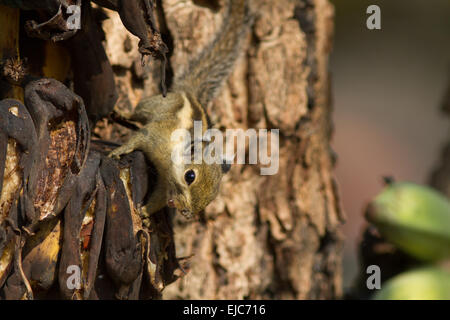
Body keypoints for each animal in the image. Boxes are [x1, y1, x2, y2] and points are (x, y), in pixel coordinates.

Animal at [107, 0, 251, 219]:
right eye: (190, 176)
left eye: (212, 197)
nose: (186, 213)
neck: (169, 160)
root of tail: (189, 94)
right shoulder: (154, 135)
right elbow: (137, 138)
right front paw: (119, 151)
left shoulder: (166, 183)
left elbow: (159, 198)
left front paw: (145, 214)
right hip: (152, 105)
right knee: (137, 113)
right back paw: (122, 113)